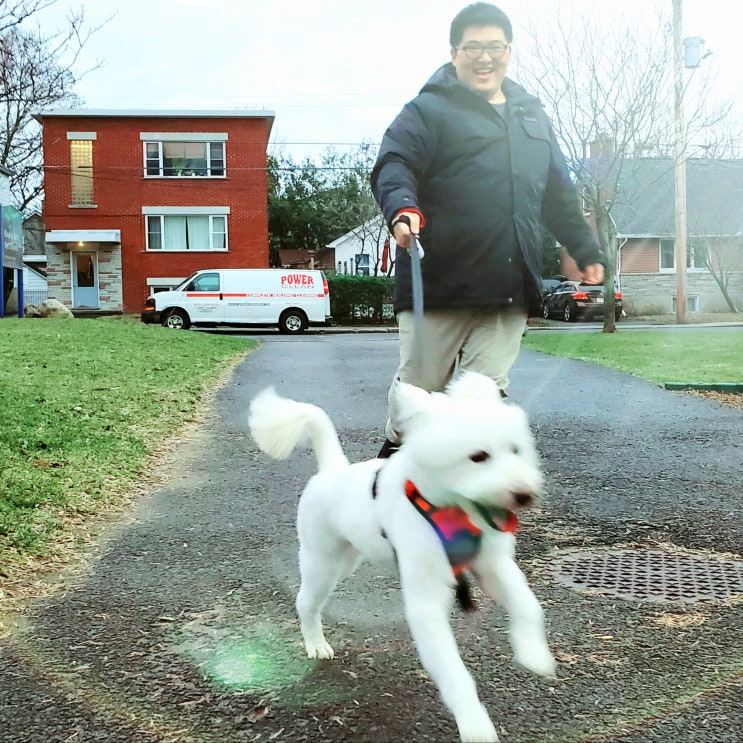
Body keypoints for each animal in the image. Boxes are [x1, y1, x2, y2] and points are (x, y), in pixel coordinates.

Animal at [247, 372, 556, 743]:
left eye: (516, 450)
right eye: (478, 456)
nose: (526, 494)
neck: (451, 512)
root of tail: (332, 470)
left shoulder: (494, 567)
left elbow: (528, 604)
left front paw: (533, 652)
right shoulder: (426, 600)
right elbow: (452, 670)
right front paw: (474, 723)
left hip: (348, 559)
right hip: (324, 562)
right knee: (306, 601)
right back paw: (315, 643)